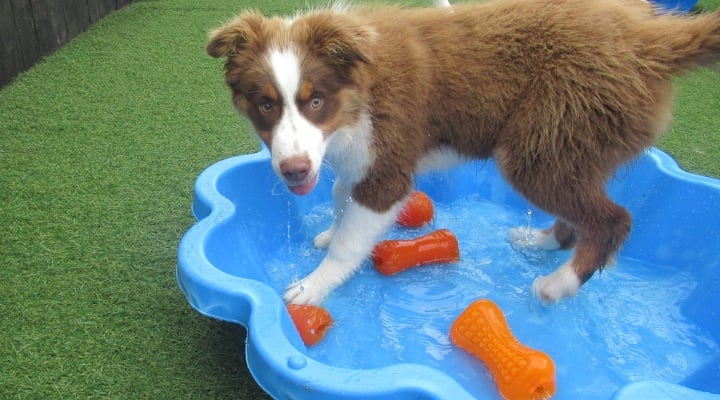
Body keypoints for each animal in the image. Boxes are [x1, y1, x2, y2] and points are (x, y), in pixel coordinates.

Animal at [207, 0, 720, 304]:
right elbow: (339, 198)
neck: (358, 91)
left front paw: (313, 285)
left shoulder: (388, 164)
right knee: (584, 215)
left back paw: (557, 285)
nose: (293, 172)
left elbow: (353, 236)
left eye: (315, 101)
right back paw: (539, 242)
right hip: (571, 147)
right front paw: (330, 231)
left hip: (540, 146)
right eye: (265, 105)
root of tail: (649, 40)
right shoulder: (355, 158)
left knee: (614, 219)